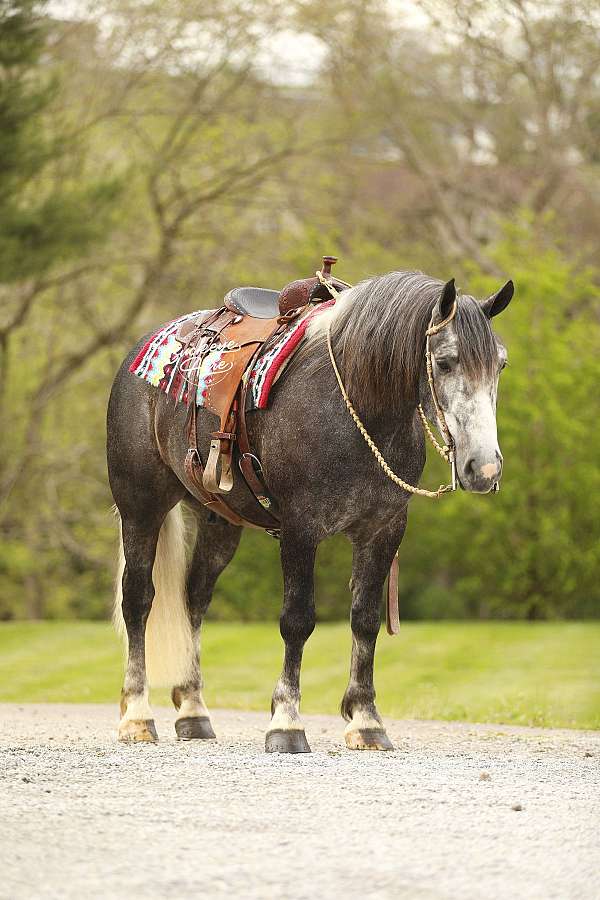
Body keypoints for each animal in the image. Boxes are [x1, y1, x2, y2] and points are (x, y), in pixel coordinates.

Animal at [107, 269, 514, 751]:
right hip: (141, 507)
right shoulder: (301, 529)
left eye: (500, 364)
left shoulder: (383, 530)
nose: (483, 468)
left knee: (195, 600)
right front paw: (286, 722)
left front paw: (366, 720)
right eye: (447, 362)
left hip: (219, 521)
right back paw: (137, 715)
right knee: (138, 599)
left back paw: (193, 709)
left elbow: (365, 621)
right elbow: (297, 620)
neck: (356, 408)